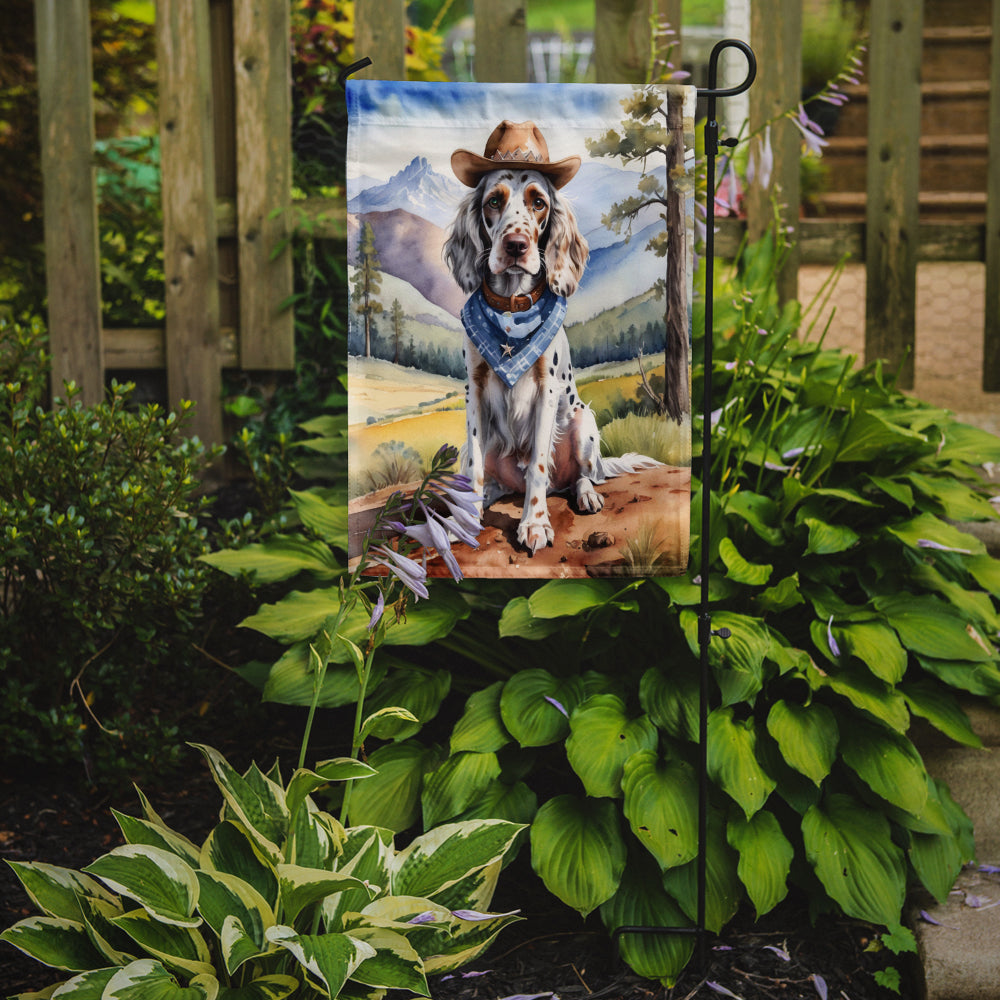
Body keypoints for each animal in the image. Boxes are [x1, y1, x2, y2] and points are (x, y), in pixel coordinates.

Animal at [446, 120, 656, 556]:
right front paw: (466, 517)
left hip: (582, 421)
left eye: (539, 202)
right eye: (493, 201)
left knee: (580, 476)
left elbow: (540, 466)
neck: (511, 311)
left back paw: (587, 495)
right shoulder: (474, 388)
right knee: (493, 478)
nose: (516, 246)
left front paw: (535, 524)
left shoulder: (546, 390)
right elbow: (474, 466)